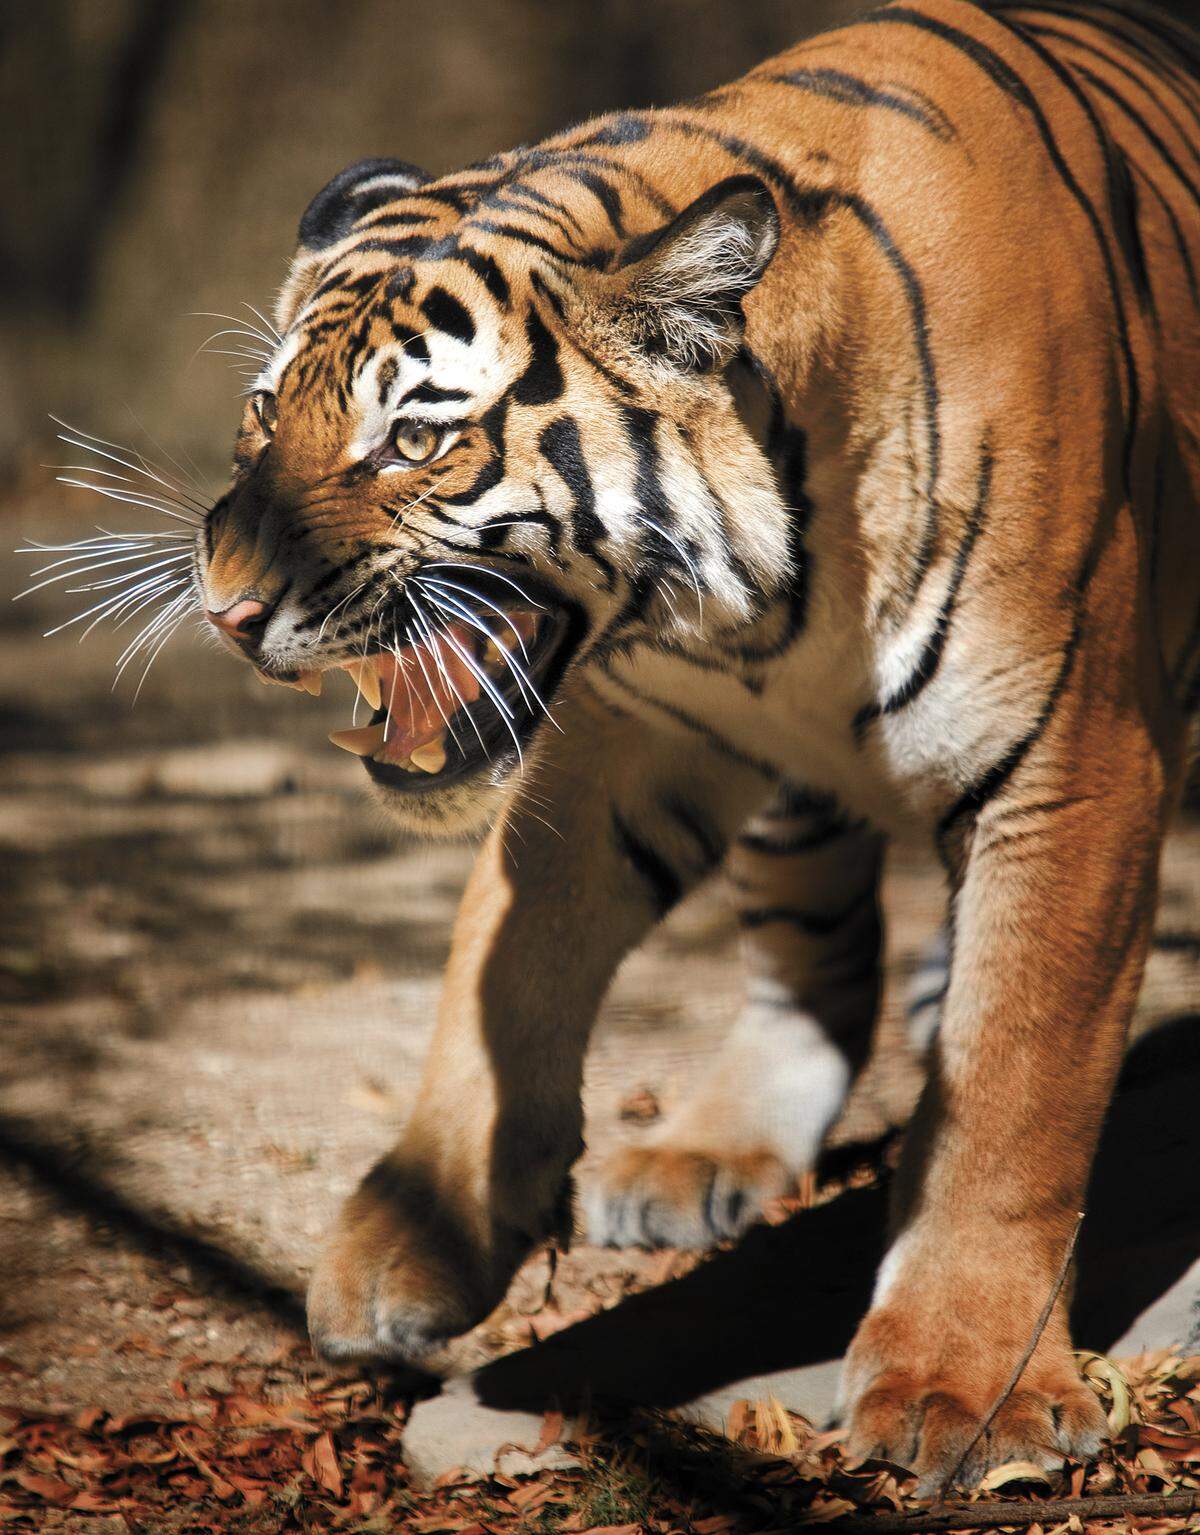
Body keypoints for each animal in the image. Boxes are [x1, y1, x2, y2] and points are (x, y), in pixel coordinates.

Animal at [127, 0, 1200, 1493]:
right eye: (264, 414)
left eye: (415, 434)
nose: (225, 608)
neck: (773, 595)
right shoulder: (628, 733)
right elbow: (498, 968)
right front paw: (411, 1239)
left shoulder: (1070, 768)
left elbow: (1012, 1089)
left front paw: (964, 1390)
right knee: (812, 954)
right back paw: (696, 1157)